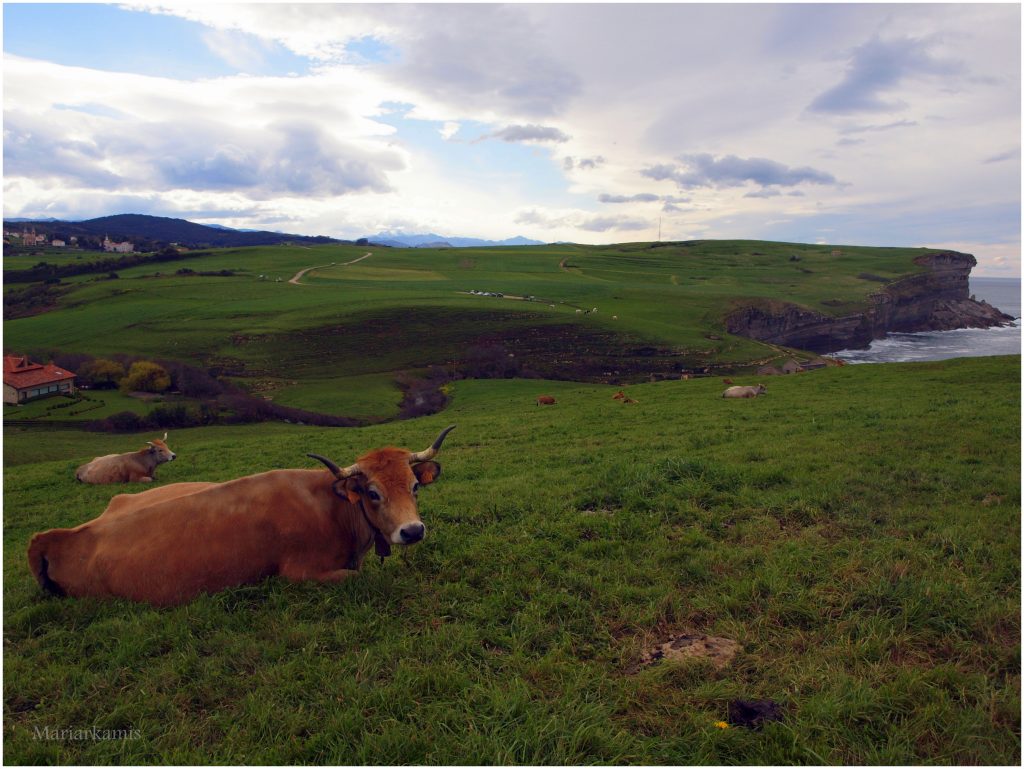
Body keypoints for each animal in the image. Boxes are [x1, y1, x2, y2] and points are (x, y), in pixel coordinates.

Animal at [28, 423, 456, 606]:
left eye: (414, 487)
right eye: (372, 492)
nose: (412, 531)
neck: (333, 509)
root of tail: (56, 536)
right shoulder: (300, 572)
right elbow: (358, 578)